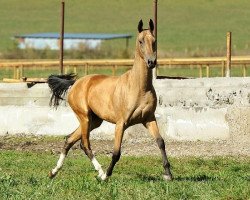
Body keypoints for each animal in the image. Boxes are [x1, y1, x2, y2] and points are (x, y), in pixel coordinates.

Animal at [47, 19, 172, 181]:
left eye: (154, 41)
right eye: (140, 41)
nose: (151, 62)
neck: (139, 87)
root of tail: (75, 83)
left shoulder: (149, 119)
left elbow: (161, 142)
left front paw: (168, 174)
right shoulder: (121, 124)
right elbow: (116, 152)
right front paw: (107, 175)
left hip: (94, 121)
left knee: (69, 139)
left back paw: (53, 172)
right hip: (84, 117)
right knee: (84, 144)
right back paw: (100, 173)